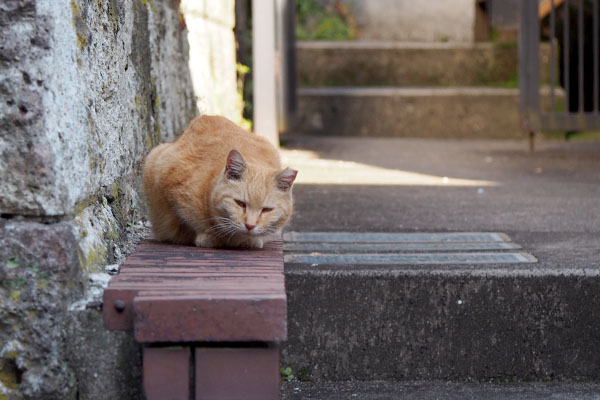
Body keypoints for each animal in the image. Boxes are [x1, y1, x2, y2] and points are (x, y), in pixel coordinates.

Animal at [143, 114, 298, 248]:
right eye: (240, 203)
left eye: (266, 210)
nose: (250, 225)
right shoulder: (166, 176)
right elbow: (185, 223)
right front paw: (208, 237)